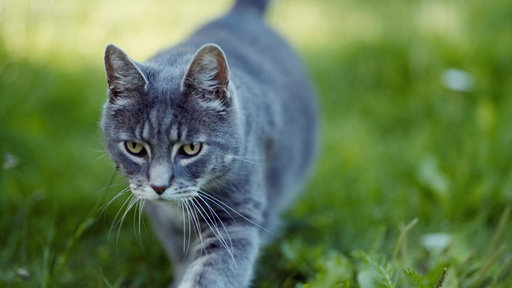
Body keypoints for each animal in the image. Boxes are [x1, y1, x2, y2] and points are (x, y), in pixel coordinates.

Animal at [100, 0, 318, 286]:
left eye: (191, 149)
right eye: (134, 147)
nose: (158, 186)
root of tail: (240, 15)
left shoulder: (236, 215)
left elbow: (214, 272)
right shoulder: (160, 216)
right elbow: (180, 255)